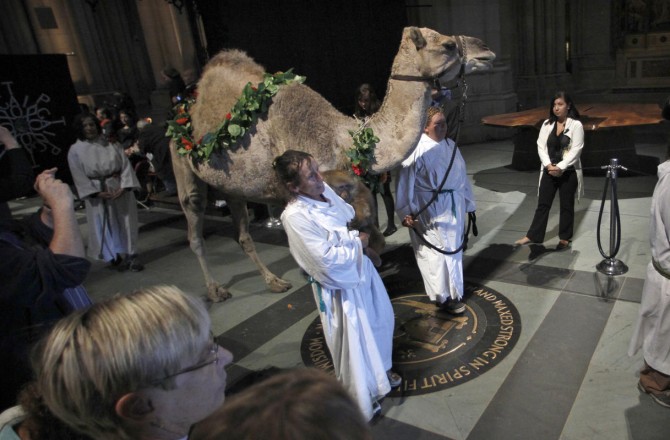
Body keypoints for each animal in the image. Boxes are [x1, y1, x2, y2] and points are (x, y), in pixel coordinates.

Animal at [171, 27, 496, 300]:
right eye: (449, 45)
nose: (487, 51)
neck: (343, 138)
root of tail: (185, 107)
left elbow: (374, 241)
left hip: (233, 187)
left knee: (243, 234)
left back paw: (274, 281)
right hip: (183, 164)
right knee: (194, 228)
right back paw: (215, 290)